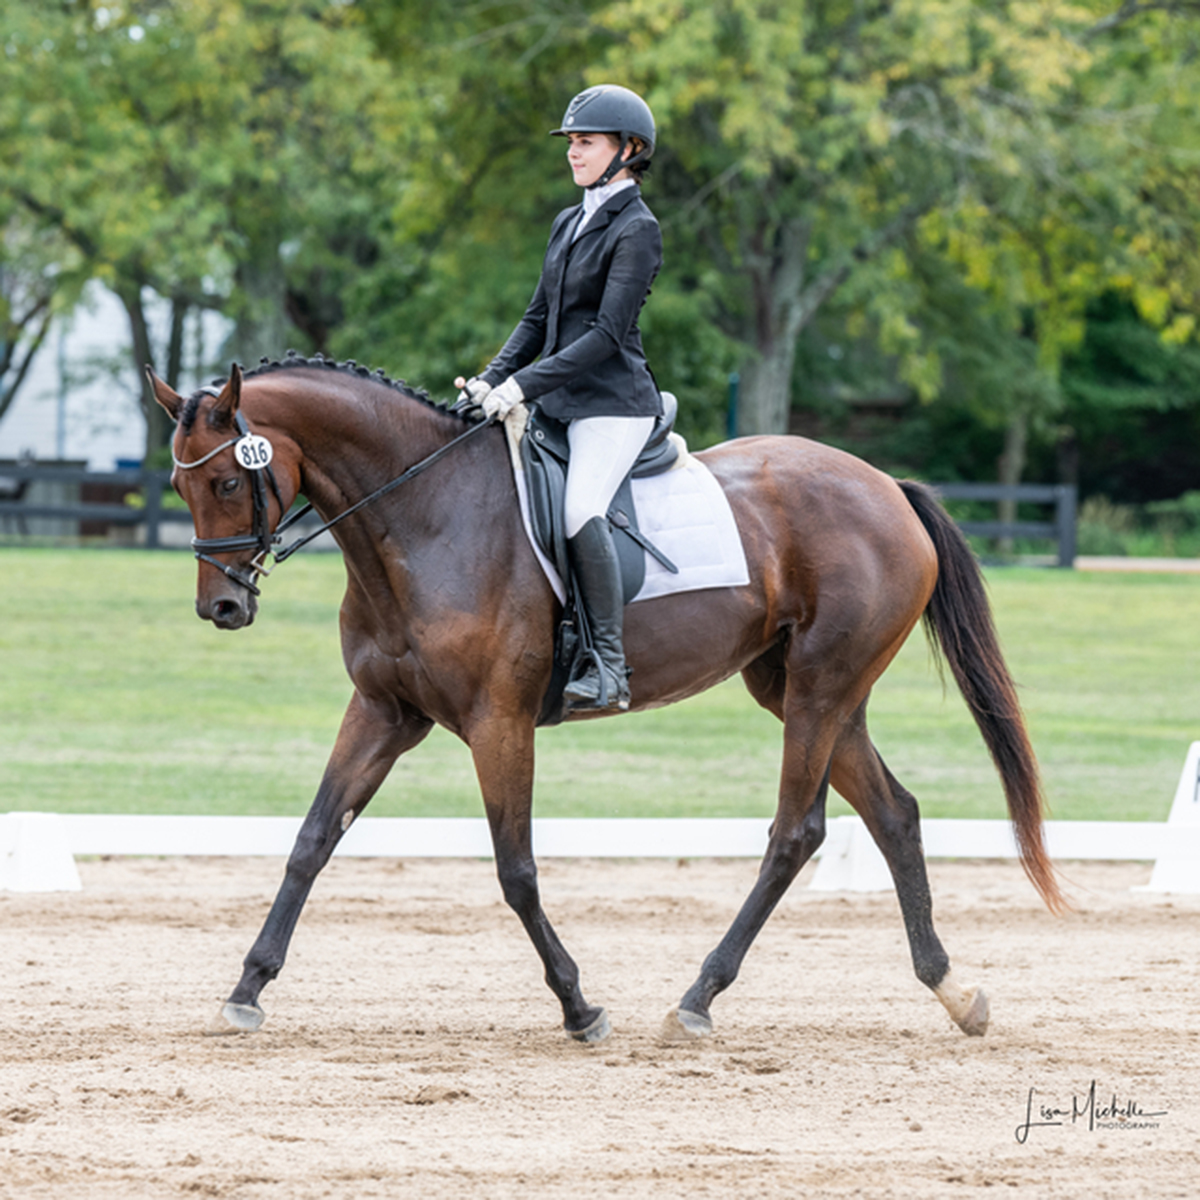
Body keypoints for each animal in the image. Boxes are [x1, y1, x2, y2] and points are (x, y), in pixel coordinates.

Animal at [148, 352, 1063, 1045]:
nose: (220, 608)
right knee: (894, 812)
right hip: (804, 690)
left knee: (795, 833)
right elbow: (311, 841)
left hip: (820, 689)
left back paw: (697, 1000)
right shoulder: (382, 712)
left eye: (227, 482)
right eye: (180, 486)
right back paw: (953, 991)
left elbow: (516, 870)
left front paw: (579, 1007)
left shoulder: (499, 723)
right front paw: (247, 989)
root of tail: (885, 486)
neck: (422, 517)